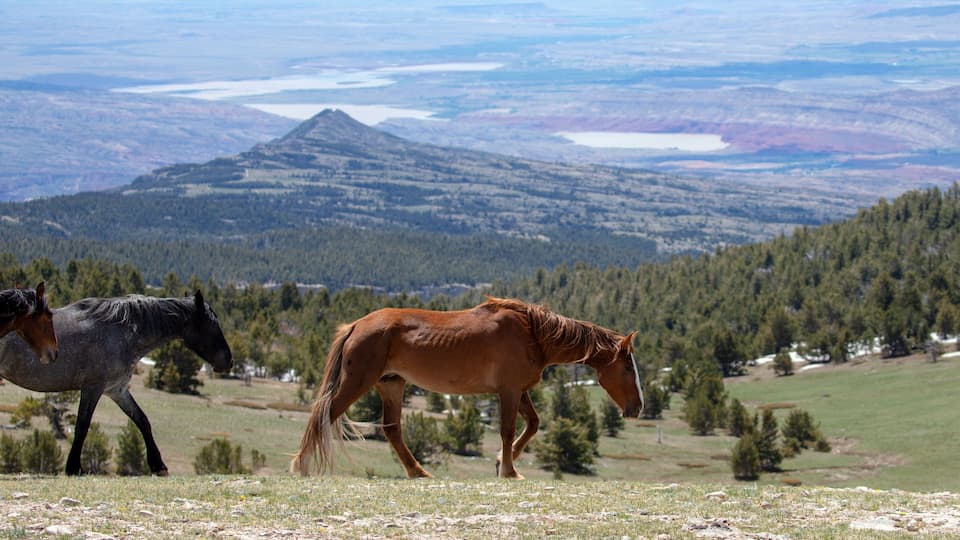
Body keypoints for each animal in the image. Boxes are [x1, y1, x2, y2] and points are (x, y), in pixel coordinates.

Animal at [0, 290, 232, 476]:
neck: (121, 332)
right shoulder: (93, 388)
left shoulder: (117, 390)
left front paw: (158, 466)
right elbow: (82, 426)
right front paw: (74, 468)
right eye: (212, 325)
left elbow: (142, 421)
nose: (228, 361)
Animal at [292, 296, 643, 479]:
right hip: (358, 381)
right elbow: (507, 430)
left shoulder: (520, 390)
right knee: (323, 415)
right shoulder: (509, 390)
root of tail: (355, 325)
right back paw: (301, 465)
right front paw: (510, 471)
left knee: (392, 429)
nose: (638, 408)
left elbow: (532, 425)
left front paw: (502, 463)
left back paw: (418, 472)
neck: (533, 334)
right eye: (627, 366)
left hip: (391, 384)